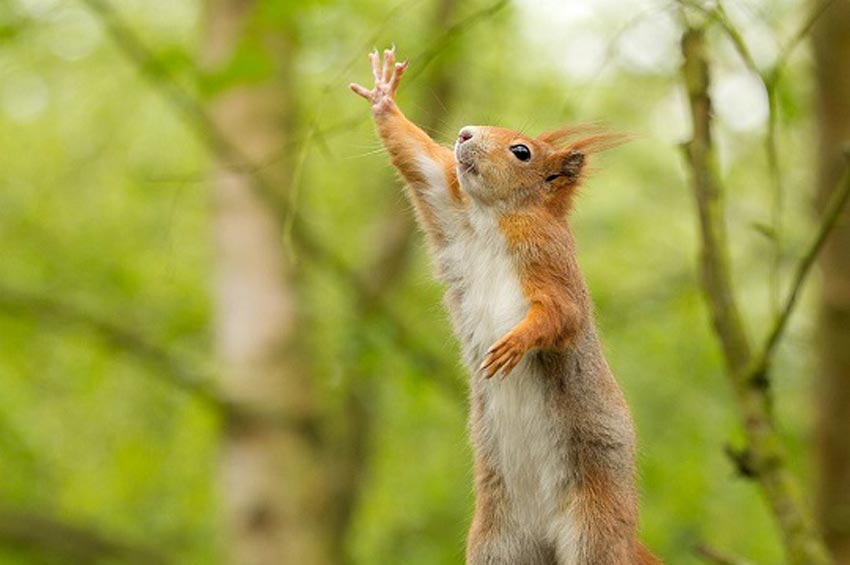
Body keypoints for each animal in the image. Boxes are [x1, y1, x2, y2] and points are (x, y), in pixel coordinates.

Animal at [348, 48, 660, 564]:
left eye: (521, 151)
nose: (463, 133)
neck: (495, 218)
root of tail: (546, 533)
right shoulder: (451, 213)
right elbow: (422, 163)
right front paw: (383, 97)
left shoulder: (552, 264)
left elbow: (561, 314)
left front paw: (516, 342)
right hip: (499, 544)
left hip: (593, 527)